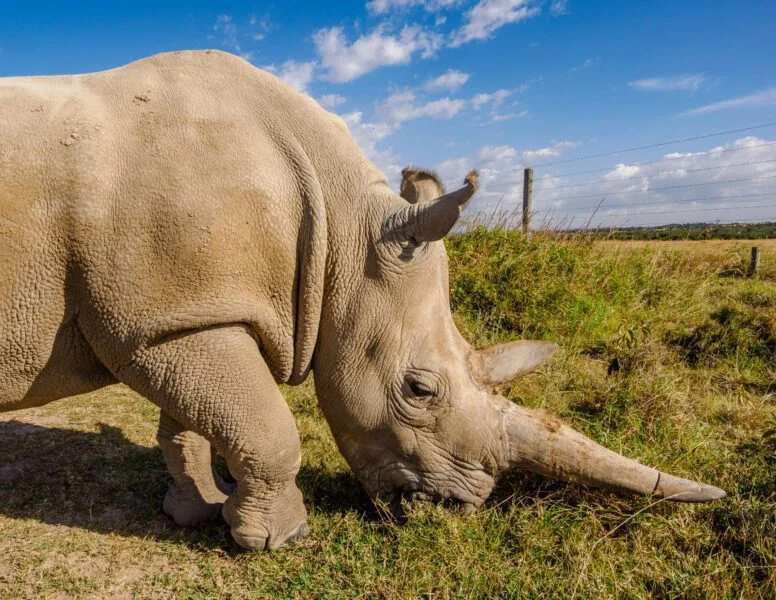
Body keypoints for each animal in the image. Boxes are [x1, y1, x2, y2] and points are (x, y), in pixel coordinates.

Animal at [0, 50, 725, 550]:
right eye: (419, 390)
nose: (455, 512)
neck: (343, 230)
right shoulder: (168, 319)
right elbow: (268, 427)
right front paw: (278, 539)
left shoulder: (182, 311)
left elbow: (192, 423)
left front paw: (198, 510)